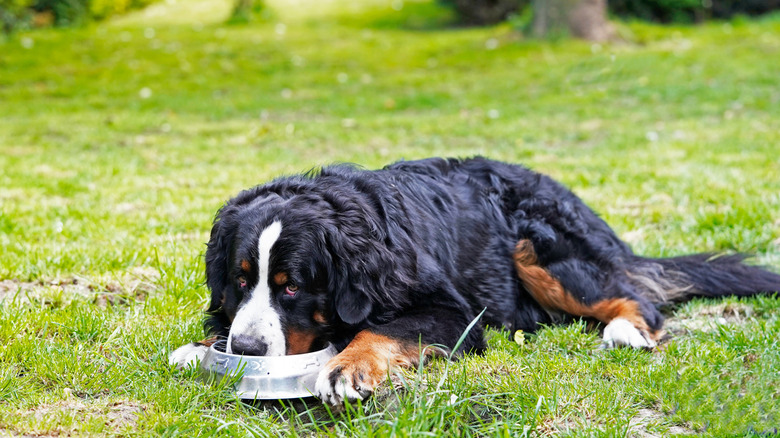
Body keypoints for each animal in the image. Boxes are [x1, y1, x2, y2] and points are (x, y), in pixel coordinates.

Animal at [171, 157, 780, 404]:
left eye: (292, 286)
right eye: (241, 281)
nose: (248, 349)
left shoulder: (453, 311)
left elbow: (380, 330)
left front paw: (349, 367)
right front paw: (201, 345)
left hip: (538, 249)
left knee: (634, 298)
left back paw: (626, 330)